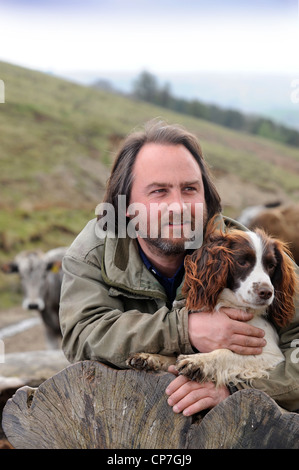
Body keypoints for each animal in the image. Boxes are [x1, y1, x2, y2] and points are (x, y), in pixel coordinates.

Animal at [127, 224, 298, 386]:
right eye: (242, 262)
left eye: (271, 265)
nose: (267, 292)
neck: (231, 304)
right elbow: (173, 357)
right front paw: (150, 357)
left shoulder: (271, 354)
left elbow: (226, 353)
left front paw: (199, 361)